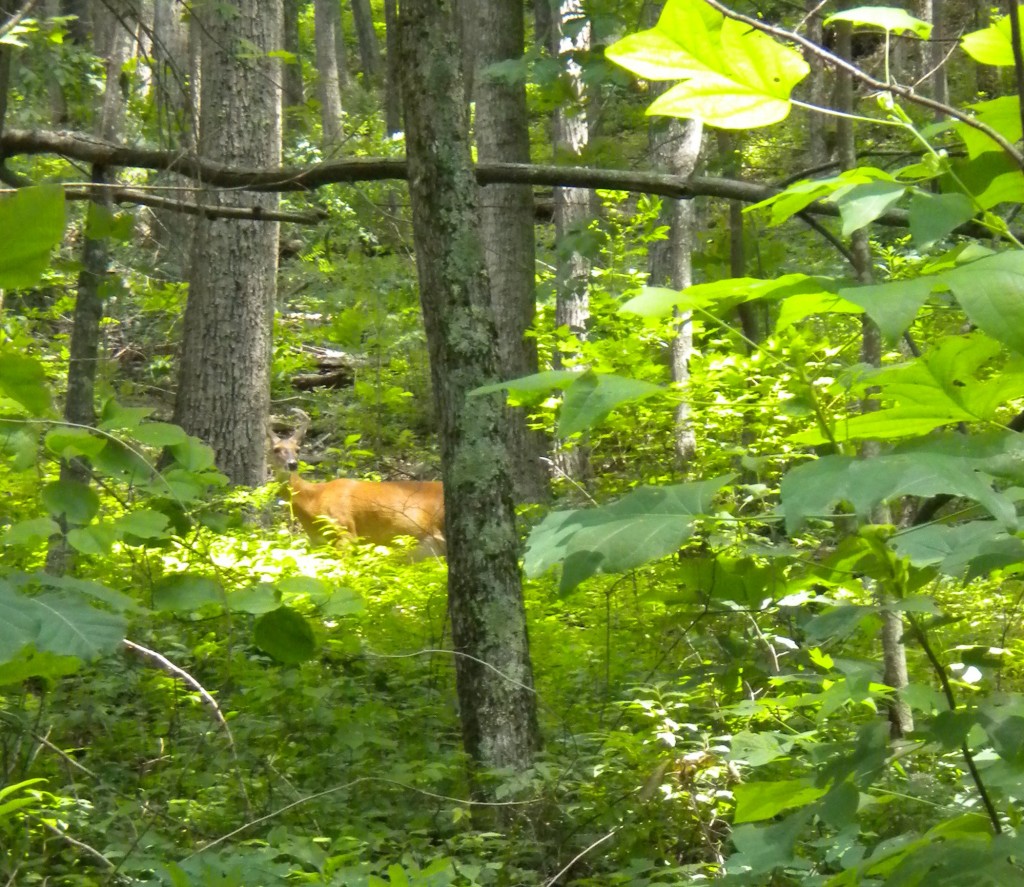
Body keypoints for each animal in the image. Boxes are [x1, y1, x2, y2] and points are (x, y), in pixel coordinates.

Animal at [266, 405, 446, 557]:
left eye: (297, 449)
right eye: (276, 449)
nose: (292, 464)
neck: (313, 501)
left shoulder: (346, 531)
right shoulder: (319, 543)